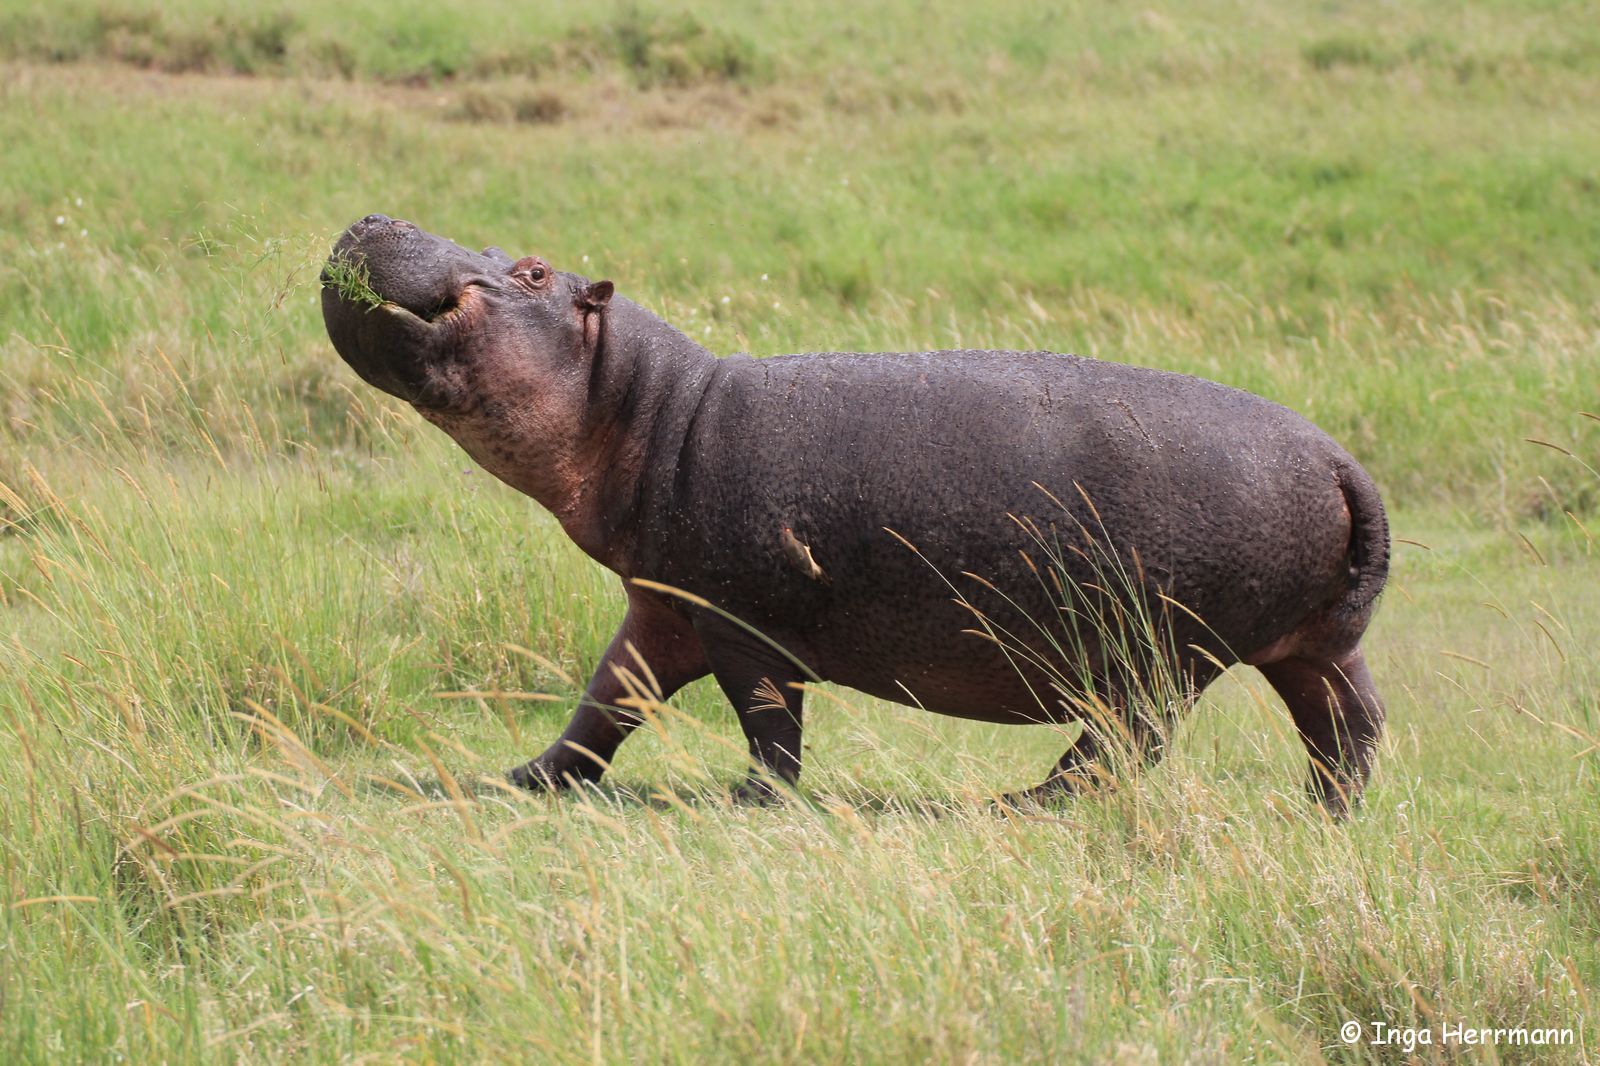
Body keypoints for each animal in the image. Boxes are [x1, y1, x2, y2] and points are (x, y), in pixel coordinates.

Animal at [321, 214, 1388, 813]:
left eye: (535, 271)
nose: (375, 211)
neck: (645, 404)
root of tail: (1341, 459)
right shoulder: (665, 606)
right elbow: (605, 701)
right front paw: (528, 780)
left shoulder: (743, 622)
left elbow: (766, 717)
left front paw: (753, 802)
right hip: (1309, 644)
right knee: (1348, 727)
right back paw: (1322, 814)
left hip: (1165, 655)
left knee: (1129, 742)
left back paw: (1016, 805)